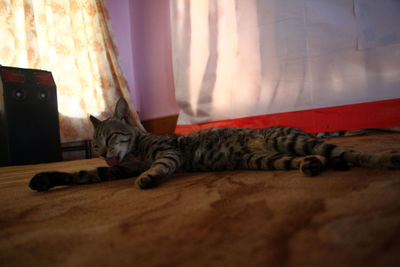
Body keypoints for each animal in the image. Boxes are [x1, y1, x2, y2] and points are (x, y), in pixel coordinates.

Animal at [28, 98, 400, 193]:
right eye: (96, 144)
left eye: (109, 138)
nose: (105, 154)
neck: (135, 150)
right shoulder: (113, 172)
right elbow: (80, 174)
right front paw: (45, 179)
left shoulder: (169, 152)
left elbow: (159, 165)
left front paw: (149, 177)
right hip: (268, 158)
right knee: (314, 159)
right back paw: (310, 165)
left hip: (288, 138)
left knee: (349, 152)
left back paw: (385, 159)